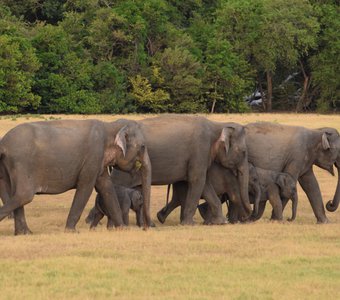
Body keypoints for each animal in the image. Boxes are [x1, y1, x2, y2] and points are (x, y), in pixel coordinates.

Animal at [0, 118, 151, 236]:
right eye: (143, 146)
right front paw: (72, 231)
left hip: (8, 166)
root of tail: (3, 143)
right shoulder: (93, 157)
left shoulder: (99, 162)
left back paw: (25, 233)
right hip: (21, 163)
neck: (109, 126)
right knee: (24, 195)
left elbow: (106, 188)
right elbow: (86, 187)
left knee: (16, 195)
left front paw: (123, 229)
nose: (145, 228)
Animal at [90, 115, 252, 225]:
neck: (217, 125)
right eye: (244, 152)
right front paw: (189, 224)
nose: (246, 217)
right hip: (123, 169)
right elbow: (197, 180)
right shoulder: (200, 150)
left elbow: (203, 183)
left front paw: (220, 222)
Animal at [199, 122, 340, 223]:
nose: (330, 203)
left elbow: (311, 185)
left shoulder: (305, 160)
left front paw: (325, 222)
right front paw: (276, 220)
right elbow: (291, 181)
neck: (317, 131)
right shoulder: (297, 157)